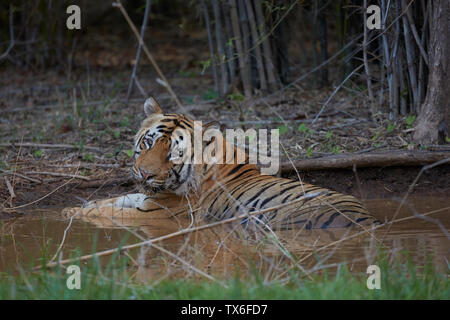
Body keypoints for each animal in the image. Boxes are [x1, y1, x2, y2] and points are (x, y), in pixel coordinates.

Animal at [62, 96, 380, 231]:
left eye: (173, 154)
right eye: (148, 143)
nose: (144, 173)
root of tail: (369, 220)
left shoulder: (158, 214)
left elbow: (108, 212)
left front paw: (71, 213)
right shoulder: (144, 197)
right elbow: (110, 201)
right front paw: (74, 207)